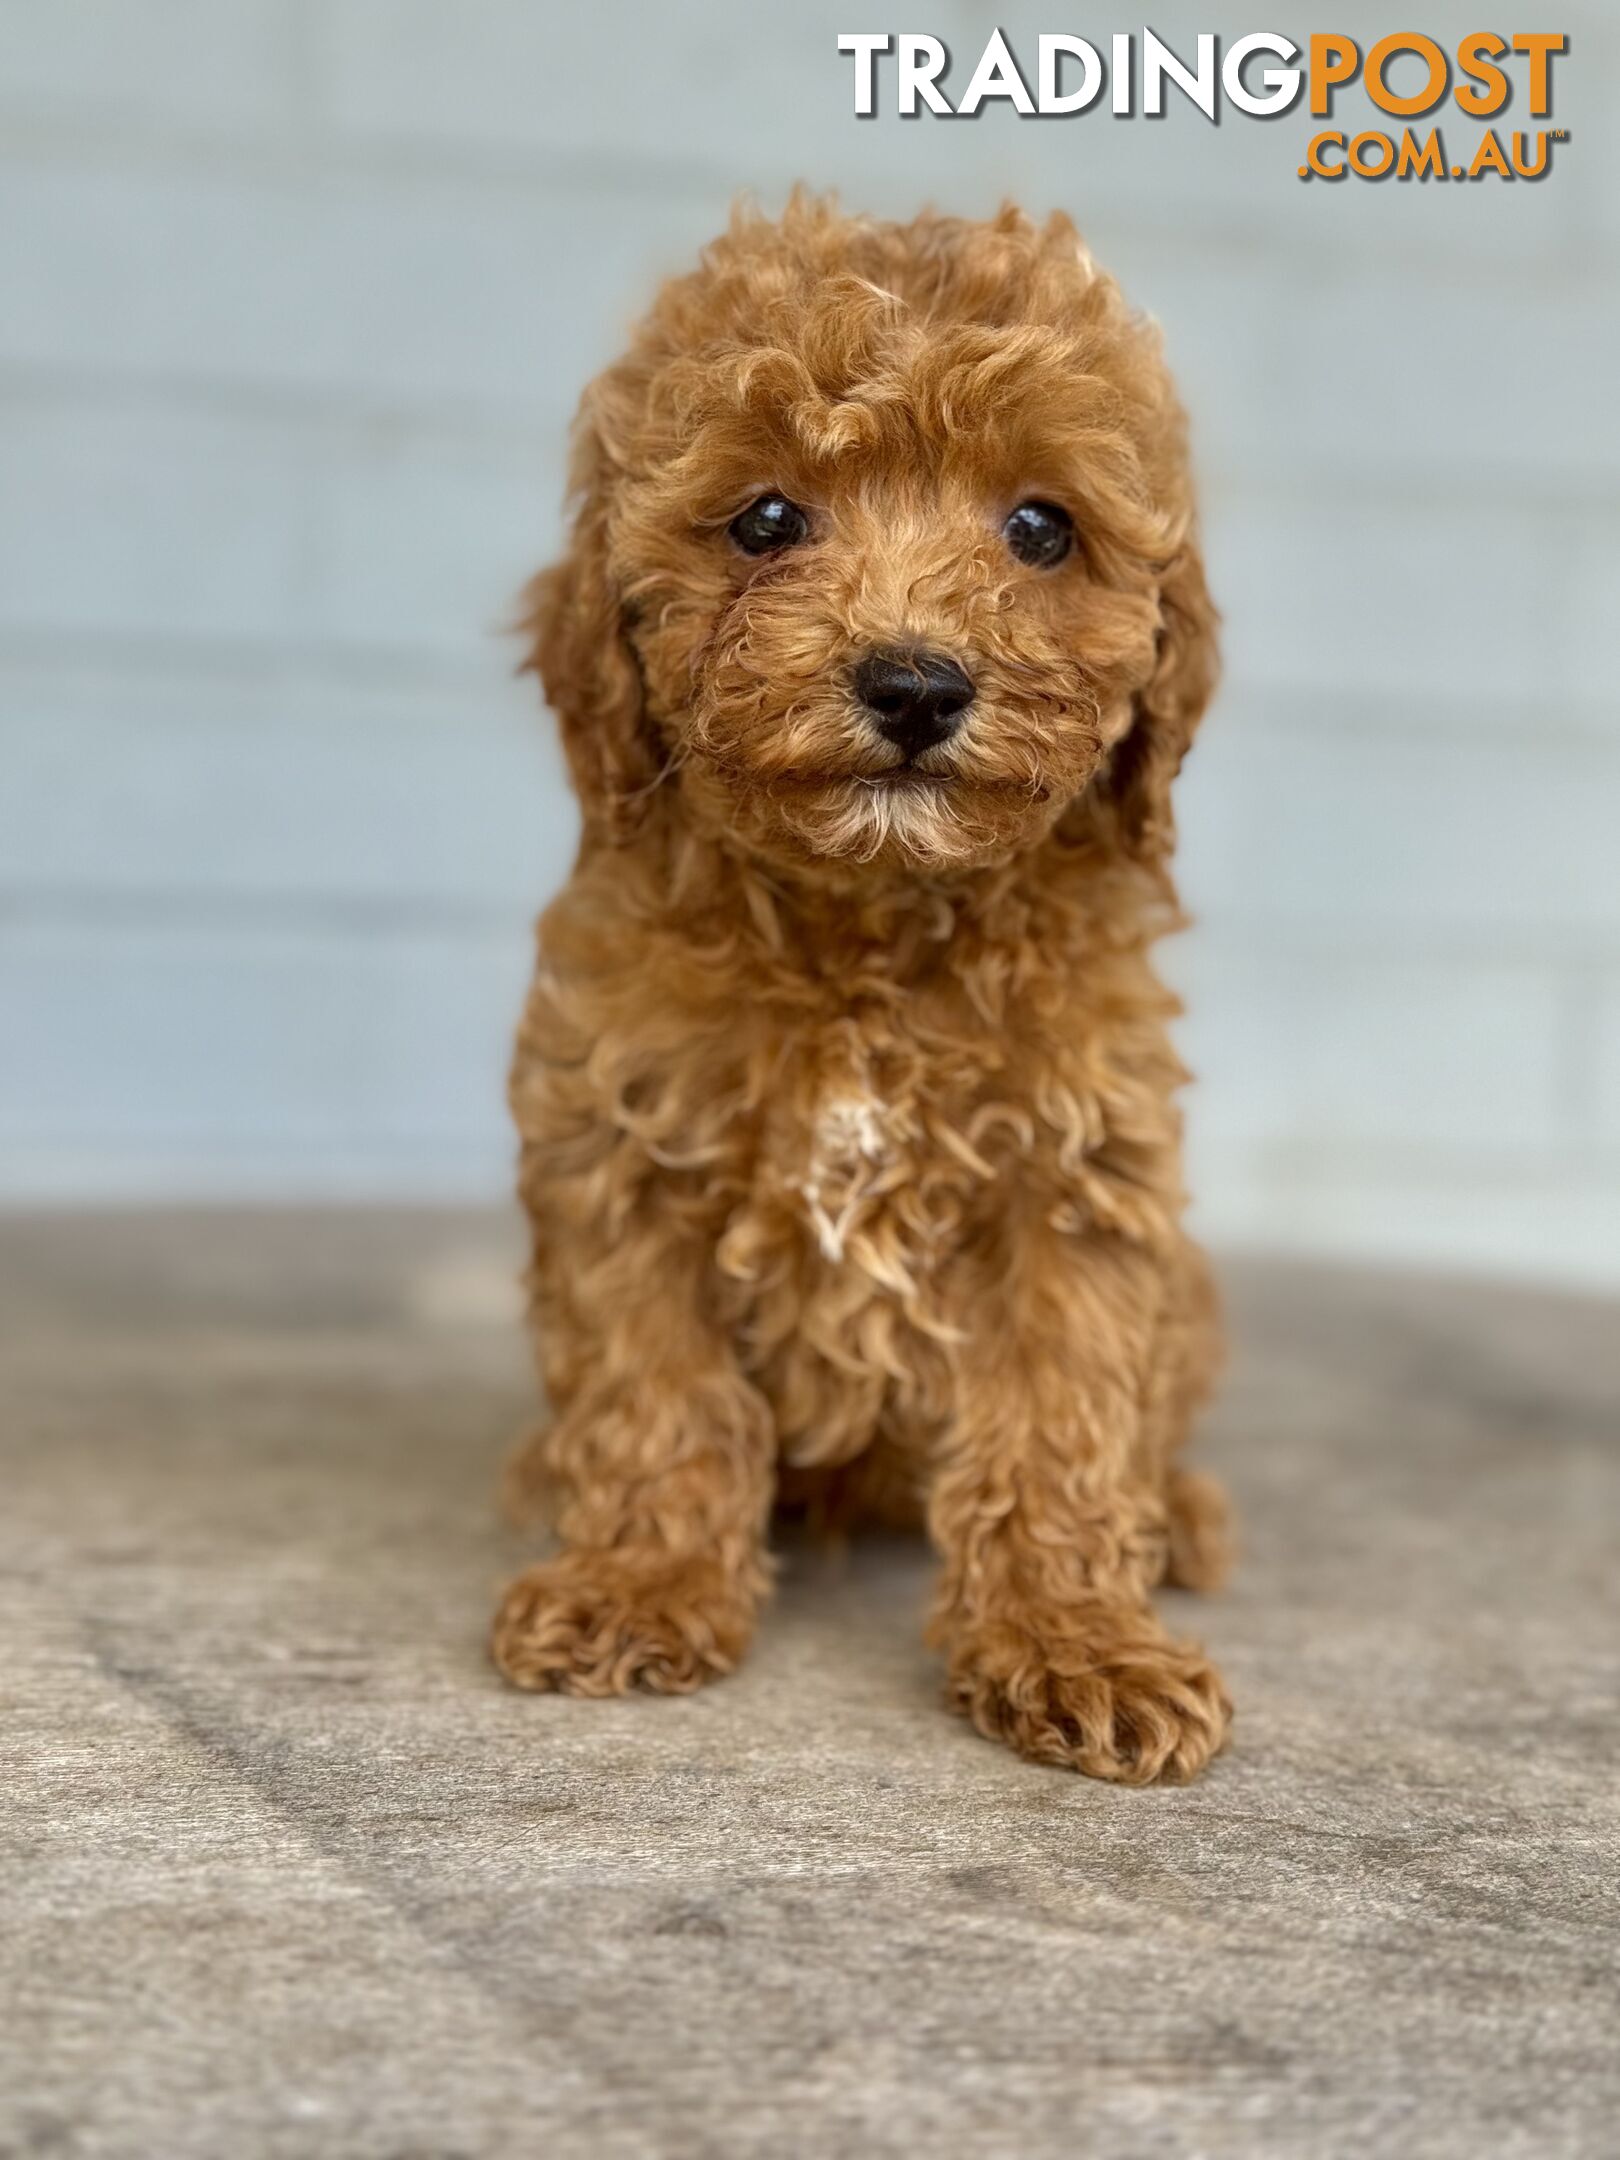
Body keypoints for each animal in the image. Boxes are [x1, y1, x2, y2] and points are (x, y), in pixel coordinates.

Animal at [492, 194, 1226, 1779]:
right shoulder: (620, 1150)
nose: (913, 684)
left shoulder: (1073, 1179)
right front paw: (638, 1582)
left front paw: (1078, 1639)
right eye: (766, 521)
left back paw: (1181, 1518)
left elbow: (1064, 1425)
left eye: (1041, 528)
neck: (871, 929)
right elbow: (655, 1392)